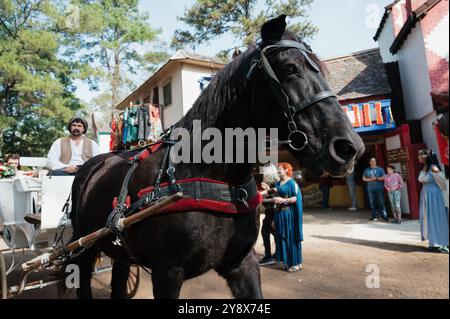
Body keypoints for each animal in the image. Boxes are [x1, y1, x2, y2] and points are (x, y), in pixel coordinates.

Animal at [69, 15, 366, 300]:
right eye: (290, 68)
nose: (349, 147)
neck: (210, 174)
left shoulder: (241, 263)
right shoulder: (167, 272)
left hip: (119, 251)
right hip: (83, 246)